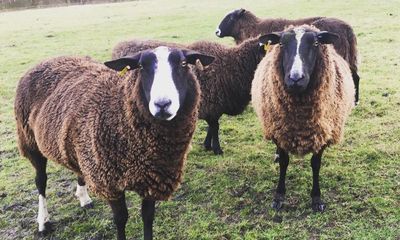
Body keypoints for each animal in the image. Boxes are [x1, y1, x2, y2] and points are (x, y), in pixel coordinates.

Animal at [14, 47, 216, 240]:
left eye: (183, 63)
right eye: (141, 66)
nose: (162, 104)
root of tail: (48, 60)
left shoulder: (152, 180)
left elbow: (148, 217)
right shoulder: (109, 181)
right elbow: (121, 219)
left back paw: (84, 199)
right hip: (30, 142)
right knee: (41, 182)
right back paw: (43, 222)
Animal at [112, 37, 268, 154]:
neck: (230, 67)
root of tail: (120, 45)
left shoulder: (211, 108)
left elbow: (212, 127)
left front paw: (207, 145)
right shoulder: (212, 105)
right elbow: (215, 127)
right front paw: (217, 149)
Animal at [217, 8, 360, 104]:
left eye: (231, 18)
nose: (217, 32)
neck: (251, 28)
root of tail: (347, 28)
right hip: (350, 57)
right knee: (355, 76)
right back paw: (355, 101)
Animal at [252, 24, 354, 212]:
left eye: (315, 43)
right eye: (282, 44)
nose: (295, 78)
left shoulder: (322, 134)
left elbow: (315, 164)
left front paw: (316, 198)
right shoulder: (280, 132)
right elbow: (284, 162)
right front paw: (279, 196)